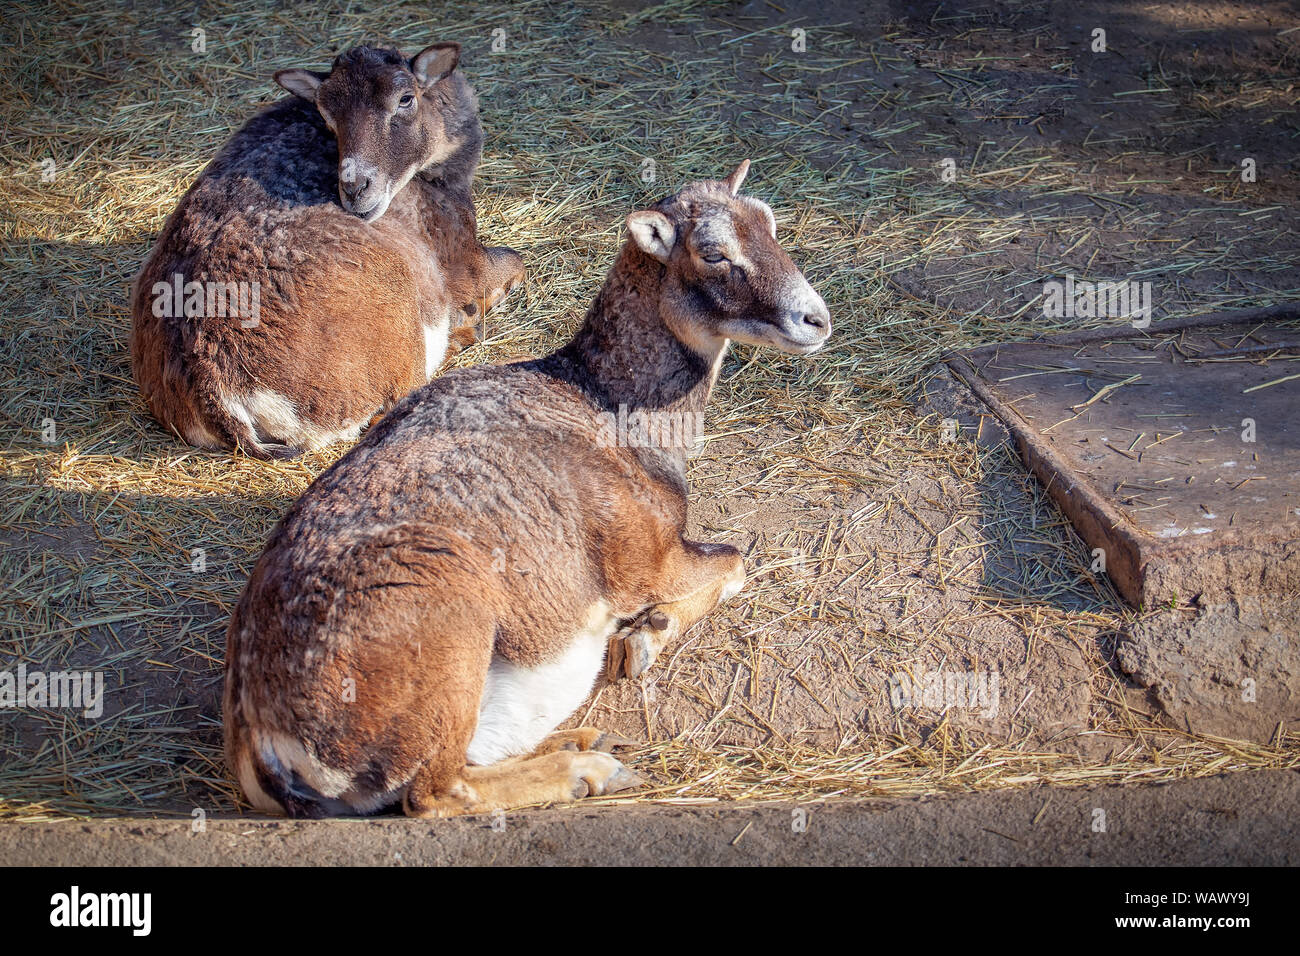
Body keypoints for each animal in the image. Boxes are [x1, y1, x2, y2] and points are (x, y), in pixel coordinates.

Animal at [130, 42, 523, 459]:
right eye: (328, 115)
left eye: (405, 98)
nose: (355, 187)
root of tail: (217, 396)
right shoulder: (463, 257)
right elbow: (515, 264)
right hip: (397, 324)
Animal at [223, 161, 831, 817]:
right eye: (713, 251)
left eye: (770, 223)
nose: (815, 319)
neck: (607, 403)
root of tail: (261, 735)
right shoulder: (647, 560)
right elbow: (737, 561)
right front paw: (644, 640)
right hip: (453, 640)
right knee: (436, 792)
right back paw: (588, 770)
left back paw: (586, 739)